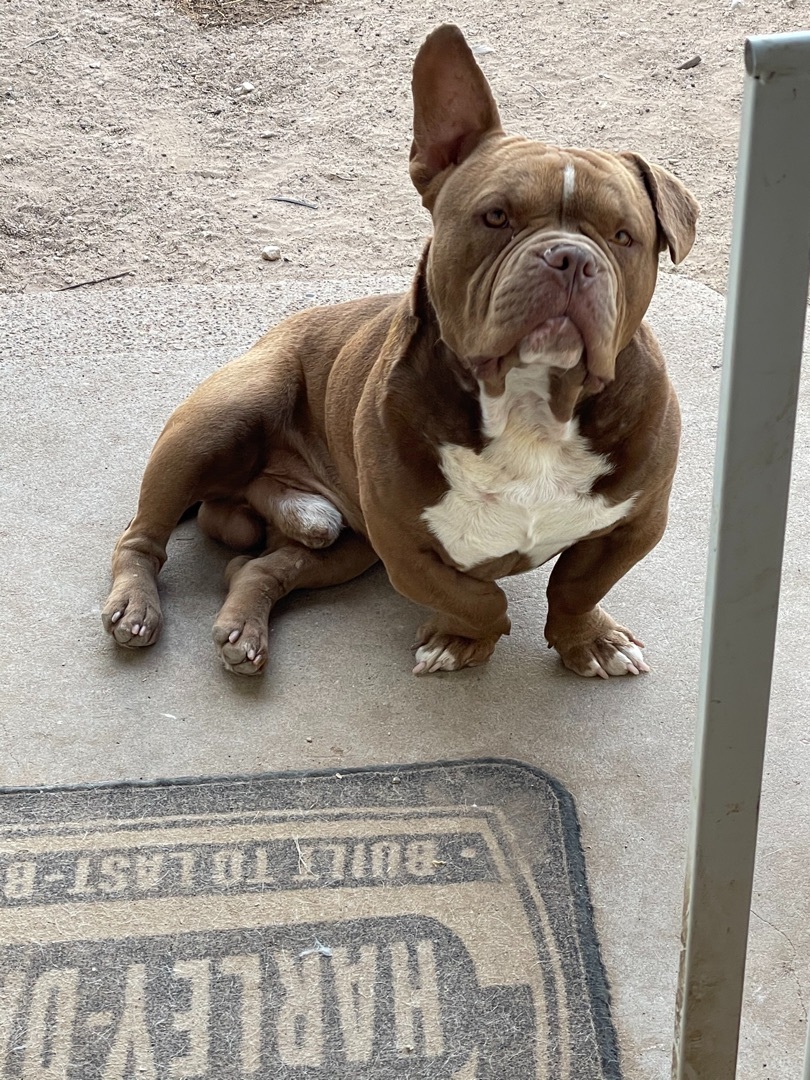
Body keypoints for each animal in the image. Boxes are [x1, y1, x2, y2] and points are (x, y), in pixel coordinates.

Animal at [103, 23, 699, 673]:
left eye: (624, 236)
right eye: (496, 217)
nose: (570, 256)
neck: (531, 406)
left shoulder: (635, 524)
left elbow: (577, 586)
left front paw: (589, 640)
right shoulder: (402, 541)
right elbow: (475, 595)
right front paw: (462, 639)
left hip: (346, 546)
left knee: (258, 565)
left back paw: (246, 624)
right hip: (220, 419)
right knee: (142, 535)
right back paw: (134, 607)